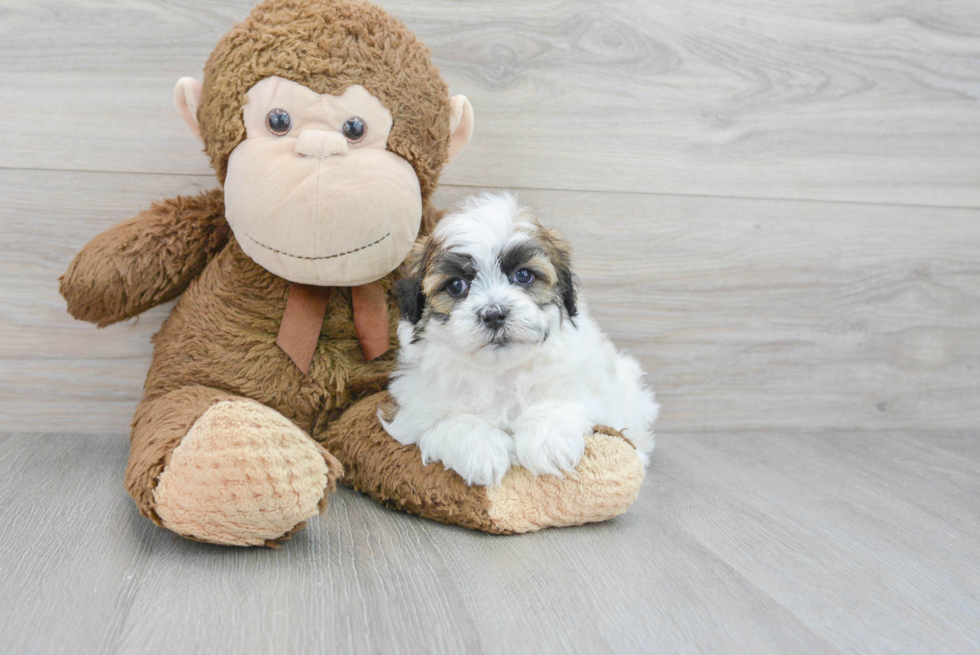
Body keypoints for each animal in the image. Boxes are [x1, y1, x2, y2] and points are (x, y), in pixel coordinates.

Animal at [380, 193, 660, 486]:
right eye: (456, 286)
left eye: (523, 275)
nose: (494, 314)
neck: (500, 371)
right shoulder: (408, 411)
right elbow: (445, 421)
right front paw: (481, 448)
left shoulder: (591, 387)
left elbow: (563, 399)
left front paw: (549, 440)